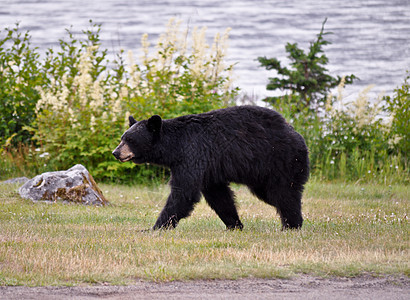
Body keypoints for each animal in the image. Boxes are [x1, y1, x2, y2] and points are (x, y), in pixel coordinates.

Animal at [112, 105, 308, 230]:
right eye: (122, 138)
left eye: (130, 140)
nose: (116, 152)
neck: (174, 147)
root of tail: (295, 132)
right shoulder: (210, 169)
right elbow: (218, 195)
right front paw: (234, 224)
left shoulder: (192, 155)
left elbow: (184, 192)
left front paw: (156, 227)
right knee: (273, 195)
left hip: (280, 161)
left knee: (283, 193)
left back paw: (292, 224)